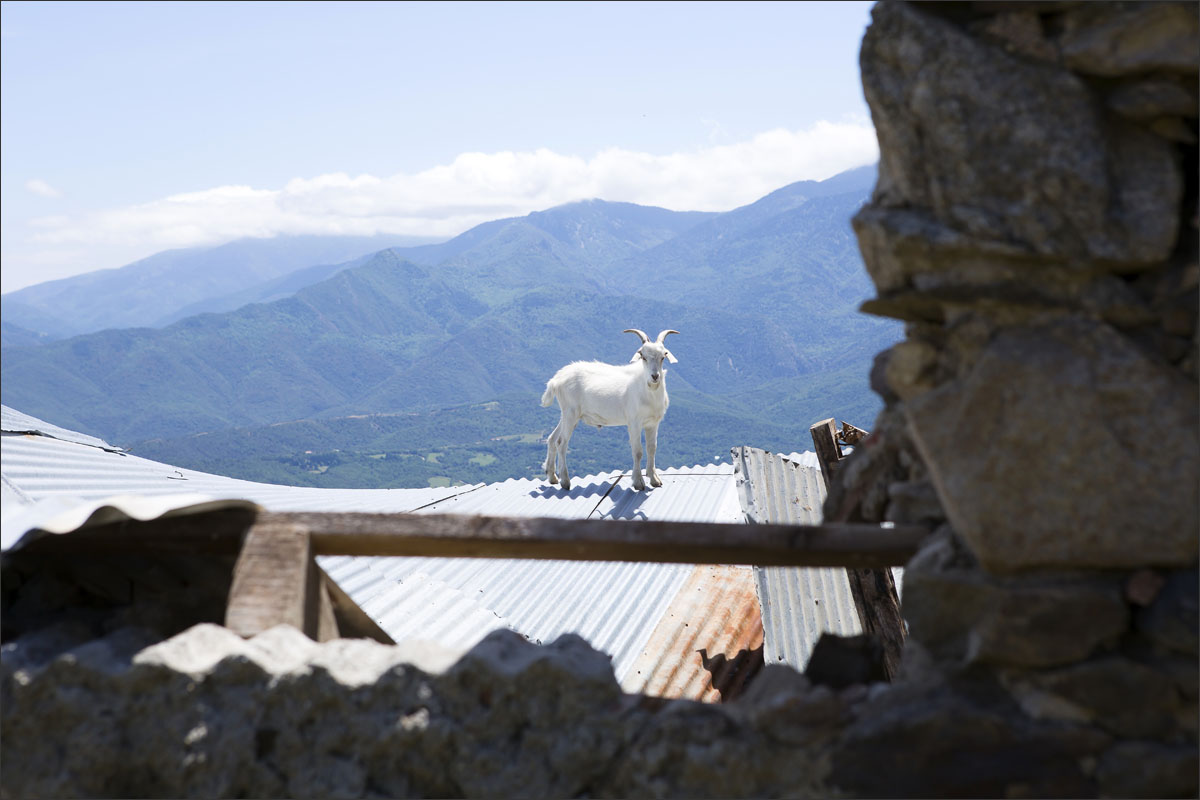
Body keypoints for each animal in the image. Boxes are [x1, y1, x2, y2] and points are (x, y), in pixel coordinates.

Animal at [542, 328, 681, 491]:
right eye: (643, 356)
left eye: (663, 356)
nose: (654, 376)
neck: (647, 392)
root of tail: (556, 379)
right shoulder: (634, 422)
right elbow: (638, 451)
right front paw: (638, 482)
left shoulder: (652, 423)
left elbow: (652, 448)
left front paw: (654, 480)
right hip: (570, 413)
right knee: (561, 443)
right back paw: (565, 481)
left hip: (567, 415)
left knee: (552, 438)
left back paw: (552, 476)